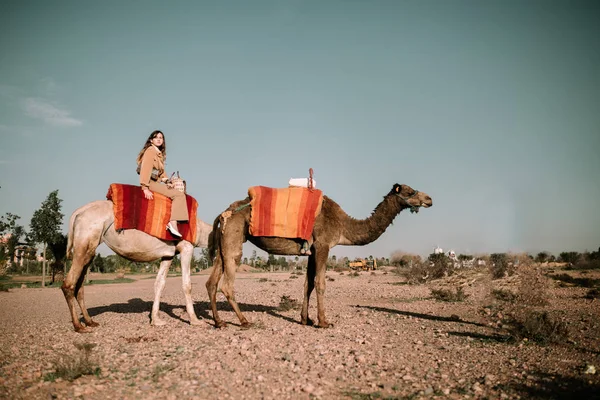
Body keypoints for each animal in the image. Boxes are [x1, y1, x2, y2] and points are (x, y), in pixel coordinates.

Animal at [62, 202, 212, 332]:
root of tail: (77, 212)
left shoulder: (168, 254)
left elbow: (159, 284)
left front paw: (156, 320)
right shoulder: (186, 247)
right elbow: (187, 285)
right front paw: (195, 320)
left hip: (89, 249)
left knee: (80, 286)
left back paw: (90, 321)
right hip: (85, 239)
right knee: (69, 284)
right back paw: (79, 327)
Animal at [206, 184, 432, 328]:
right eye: (410, 191)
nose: (429, 199)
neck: (343, 225)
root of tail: (223, 213)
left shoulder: (312, 250)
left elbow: (308, 284)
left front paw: (306, 320)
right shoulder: (323, 245)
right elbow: (320, 283)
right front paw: (324, 322)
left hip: (225, 241)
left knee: (212, 282)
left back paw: (219, 322)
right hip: (234, 237)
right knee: (227, 283)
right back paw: (244, 321)